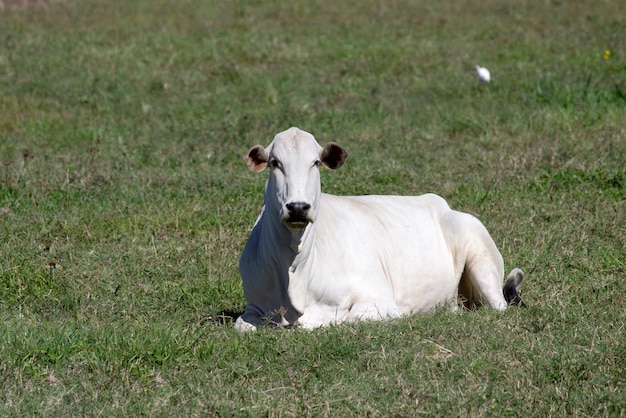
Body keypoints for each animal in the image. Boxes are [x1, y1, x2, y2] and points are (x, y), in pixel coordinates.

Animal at [234, 125, 520, 332]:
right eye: (275, 163)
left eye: (315, 162)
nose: (297, 207)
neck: (295, 270)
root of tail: (439, 203)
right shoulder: (253, 306)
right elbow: (242, 325)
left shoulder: (378, 300)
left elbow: (342, 319)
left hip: (483, 264)